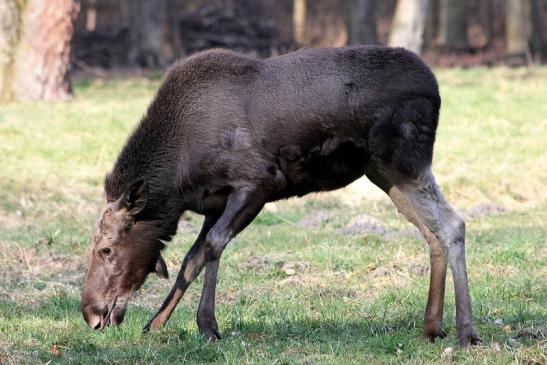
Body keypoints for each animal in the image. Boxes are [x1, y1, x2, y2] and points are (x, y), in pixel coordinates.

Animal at [80, 45, 480, 344]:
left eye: (106, 249)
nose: (91, 313)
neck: (178, 184)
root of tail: (436, 90)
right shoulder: (214, 202)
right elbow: (191, 259)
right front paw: (156, 323)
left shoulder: (258, 181)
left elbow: (213, 245)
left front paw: (207, 325)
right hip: (383, 174)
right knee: (431, 233)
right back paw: (431, 327)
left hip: (404, 162)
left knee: (453, 224)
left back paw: (466, 332)